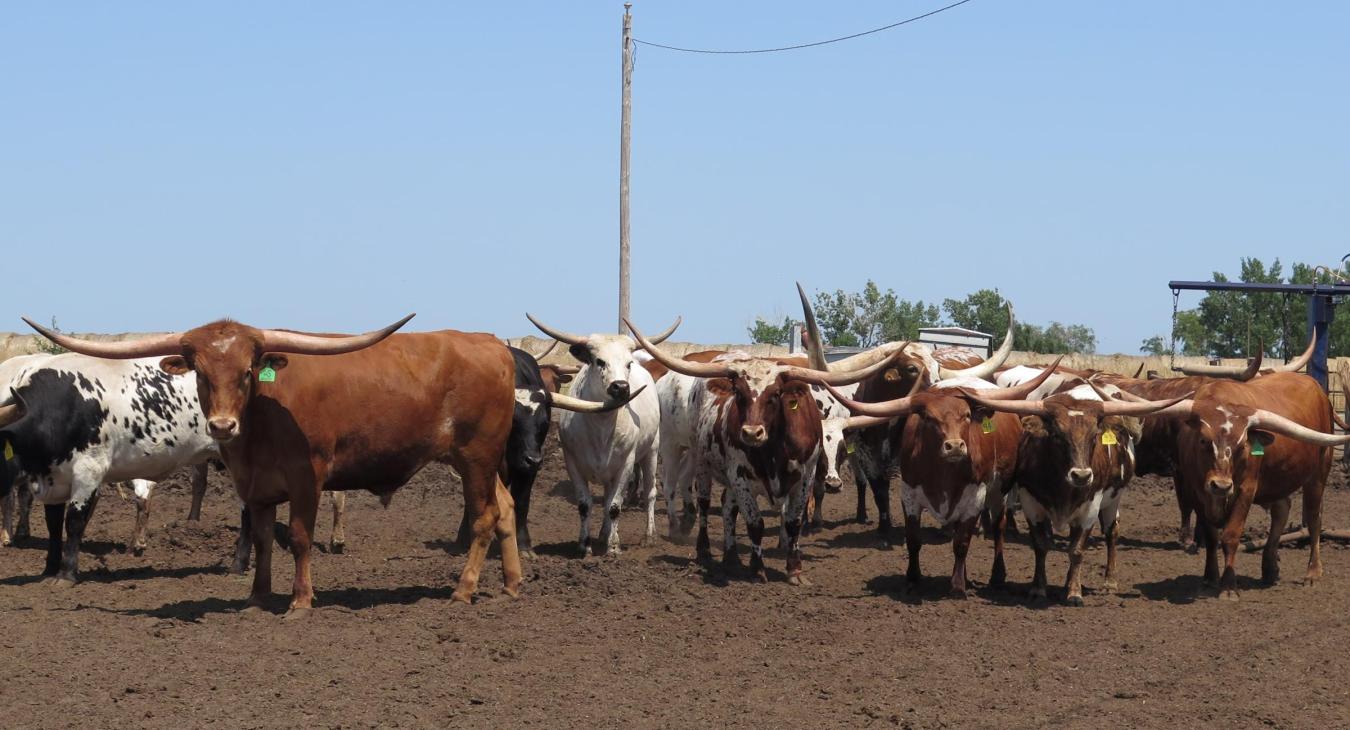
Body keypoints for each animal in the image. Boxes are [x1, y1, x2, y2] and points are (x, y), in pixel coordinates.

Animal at [30, 314, 526, 609]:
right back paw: (511, 584)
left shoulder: (308, 479)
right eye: (200, 373)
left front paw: (300, 602)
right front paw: (257, 596)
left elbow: (301, 538)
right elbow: (264, 538)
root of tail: (491, 343)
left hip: (476, 456)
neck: (263, 416)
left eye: (248, 370)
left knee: (483, 516)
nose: (222, 426)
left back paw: (463, 590)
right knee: (505, 509)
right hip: (481, 462)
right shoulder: (255, 485)